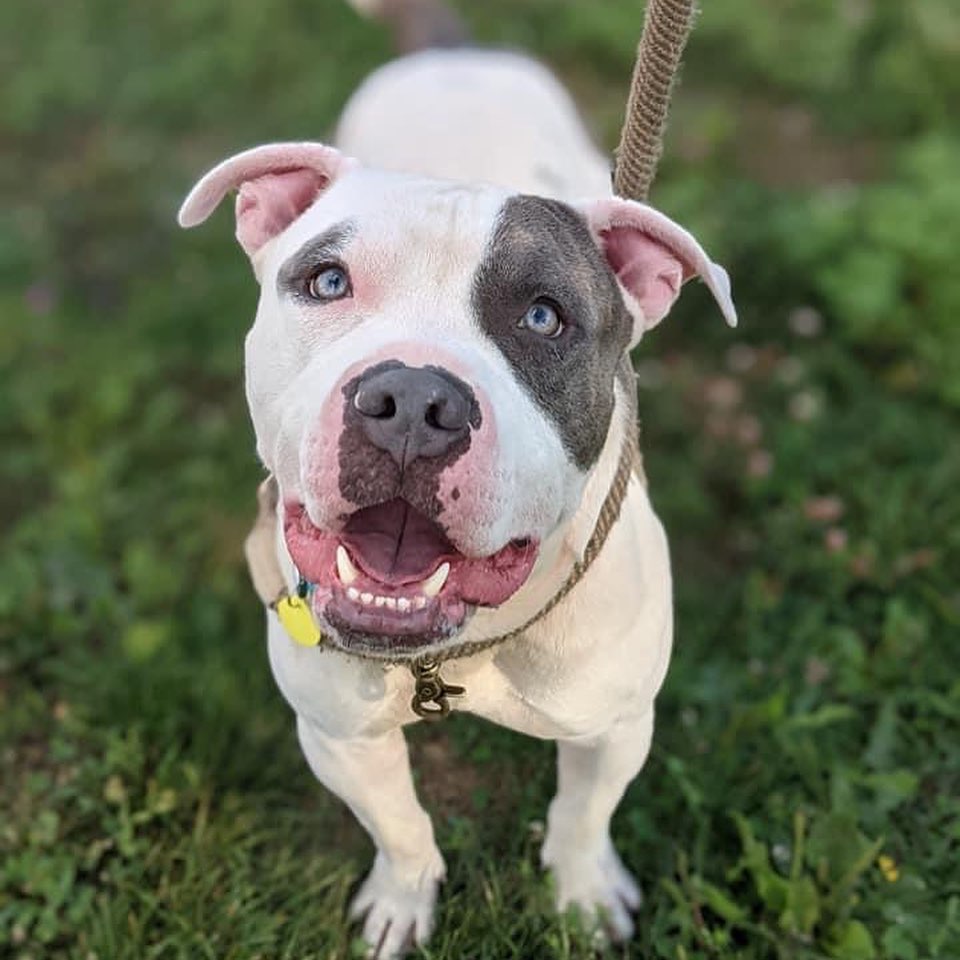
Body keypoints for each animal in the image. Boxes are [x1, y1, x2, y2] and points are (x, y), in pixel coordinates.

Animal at [178, 3, 736, 956]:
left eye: (544, 318)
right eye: (326, 280)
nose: (410, 400)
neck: (459, 648)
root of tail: (450, 50)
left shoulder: (617, 728)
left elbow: (582, 817)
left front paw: (583, 898)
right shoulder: (338, 737)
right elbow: (401, 825)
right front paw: (402, 902)